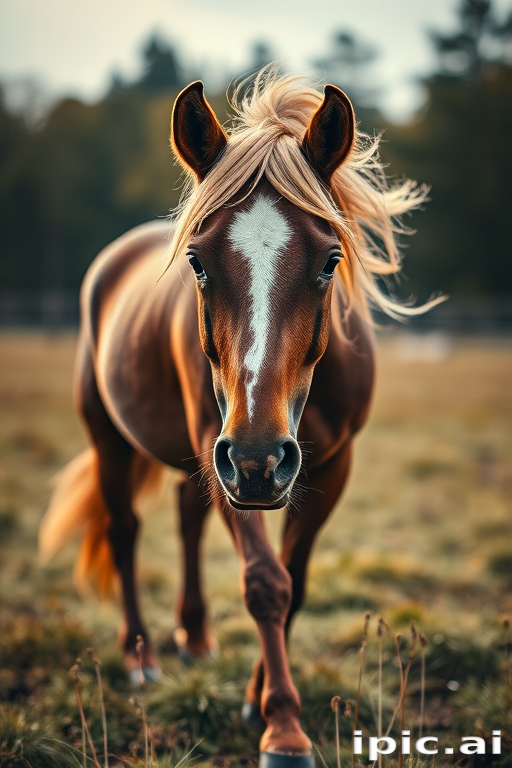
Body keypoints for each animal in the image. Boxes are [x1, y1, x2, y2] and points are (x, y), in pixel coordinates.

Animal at [40, 70, 436, 767]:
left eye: (330, 260)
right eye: (198, 262)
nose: (261, 455)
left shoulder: (327, 467)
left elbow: (295, 580)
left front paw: (257, 698)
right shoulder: (228, 459)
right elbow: (265, 582)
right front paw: (283, 727)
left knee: (185, 517)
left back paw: (195, 638)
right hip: (120, 439)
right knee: (124, 530)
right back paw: (141, 655)